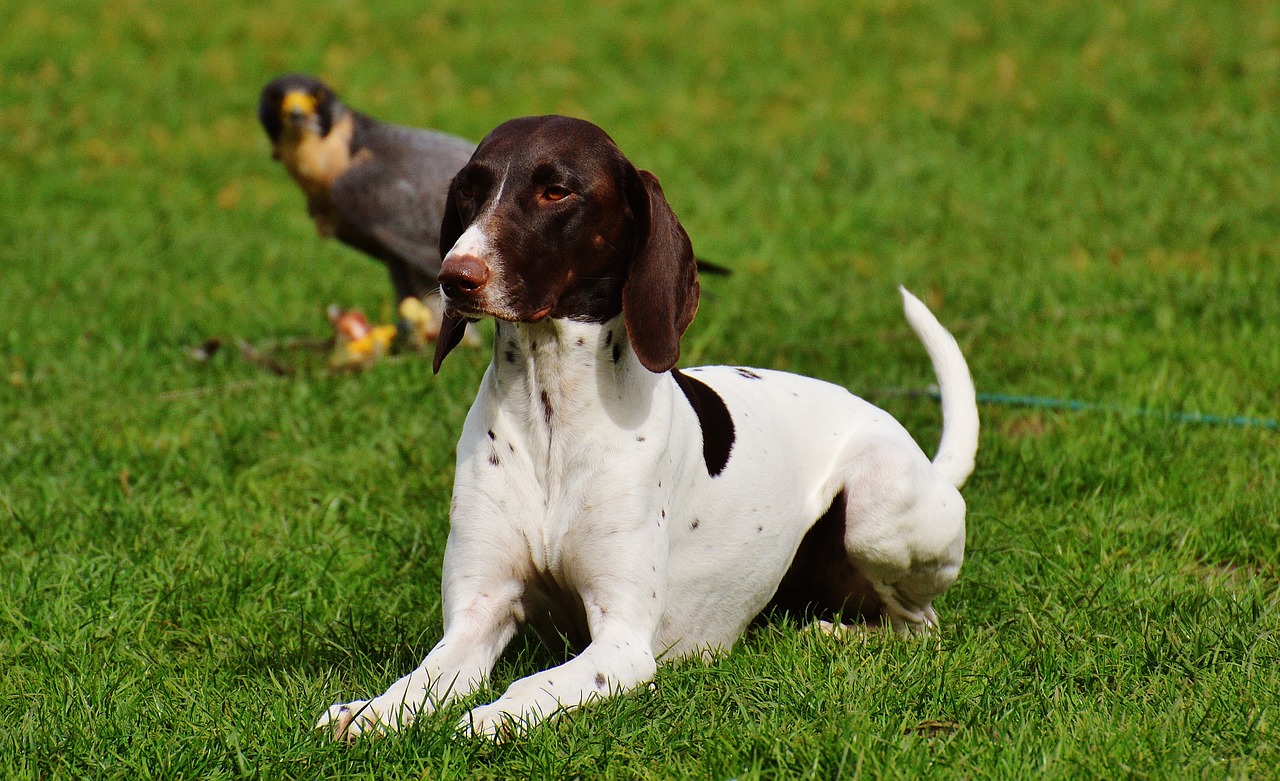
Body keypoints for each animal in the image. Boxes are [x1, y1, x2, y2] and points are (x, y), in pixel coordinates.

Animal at [317, 113, 977, 737]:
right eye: (470, 191)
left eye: (556, 191)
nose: (455, 276)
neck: (551, 411)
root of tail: (930, 465)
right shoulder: (479, 616)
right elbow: (419, 682)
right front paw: (366, 713)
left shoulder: (622, 643)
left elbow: (530, 686)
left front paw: (491, 718)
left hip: (875, 511)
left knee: (919, 624)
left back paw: (836, 633)